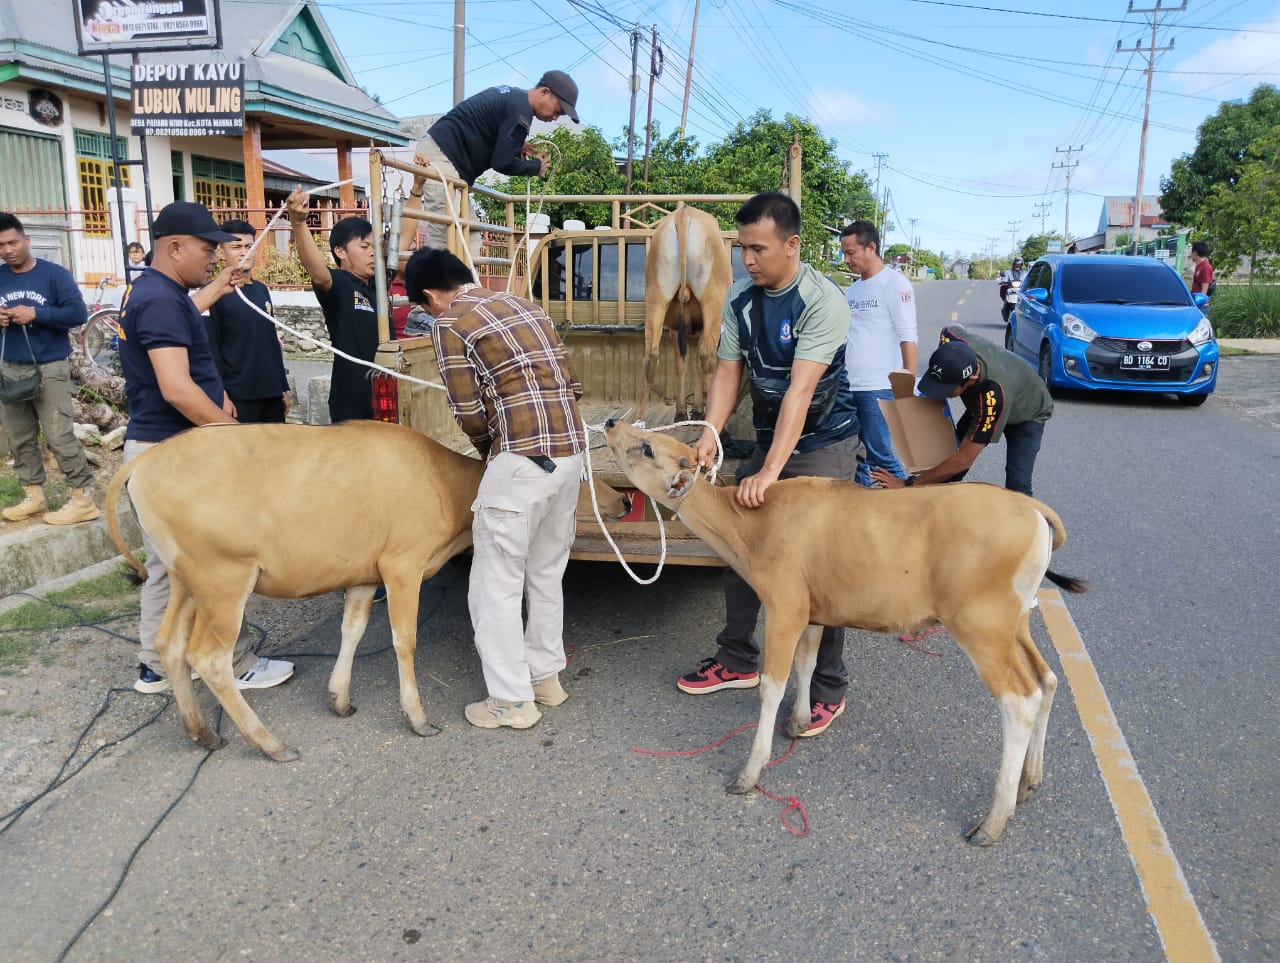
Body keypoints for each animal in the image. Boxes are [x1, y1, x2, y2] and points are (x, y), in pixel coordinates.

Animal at [106, 420, 629, 758]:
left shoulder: (362, 573)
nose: (624, 501)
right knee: (208, 658)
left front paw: (339, 698)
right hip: (222, 577)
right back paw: (269, 743)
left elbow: (352, 632)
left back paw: (202, 733)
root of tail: (147, 458)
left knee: (168, 644)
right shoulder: (402, 565)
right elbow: (404, 640)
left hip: (183, 578)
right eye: (584, 476)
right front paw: (417, 718)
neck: (446, 487)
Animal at [604, 417, 1085, 845]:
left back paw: (993, 820)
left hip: (981, 626)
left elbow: (771, 686)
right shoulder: (814, 611)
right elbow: (807, 662)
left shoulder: (784, 608)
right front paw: (799, 721)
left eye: (648, 447)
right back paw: (1029, 781)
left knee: (1019, 702)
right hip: (1014, 624)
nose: (611, 423)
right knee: (1046, 680)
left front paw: (749, 772)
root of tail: (1031, 508)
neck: (752, 526)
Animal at [637, 201, 732, 414]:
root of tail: (683, 214)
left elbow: (681, 363)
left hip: (656, 297)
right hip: (713, 306)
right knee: (707, 356)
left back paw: (638, 418)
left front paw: (681, 410)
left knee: (651, 356)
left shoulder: (674, 326)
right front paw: (695, 407)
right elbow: (694, 361)